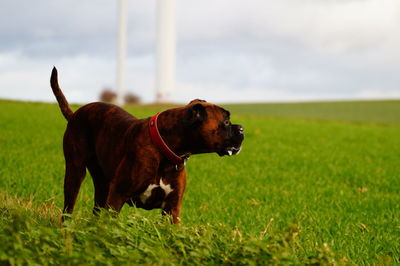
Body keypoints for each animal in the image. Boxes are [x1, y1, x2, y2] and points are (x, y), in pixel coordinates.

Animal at [50, 66, 244, 222]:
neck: (165, 150)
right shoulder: (117, 197)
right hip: (75, 172)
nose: (242, 128)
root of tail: (76, 113)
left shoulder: (172, 209)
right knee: (68, 208)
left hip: (102, 184)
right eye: (226, 122)